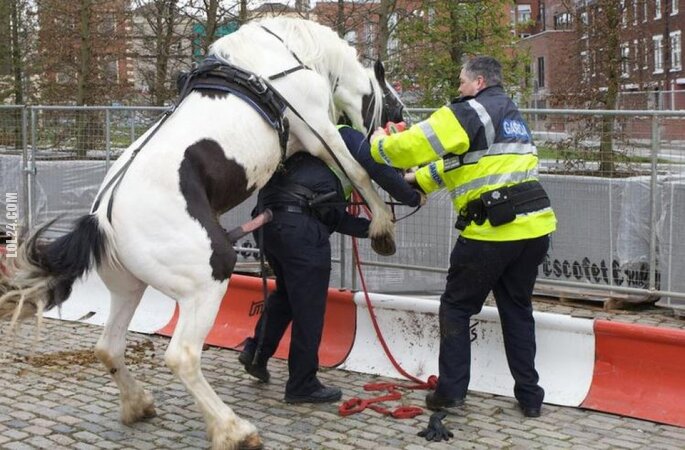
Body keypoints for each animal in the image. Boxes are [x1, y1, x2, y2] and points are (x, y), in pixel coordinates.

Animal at [0, 17, 404, 450]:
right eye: (395, 106)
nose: (402, 127)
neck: (284, 55)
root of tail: (101, 221)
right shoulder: (320, 132)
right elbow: (357, 172)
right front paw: (383, 226)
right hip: (206, 284)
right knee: (182, 356)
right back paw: (233, 429)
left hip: (130, 289)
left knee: (109, 348)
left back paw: (138, 404)